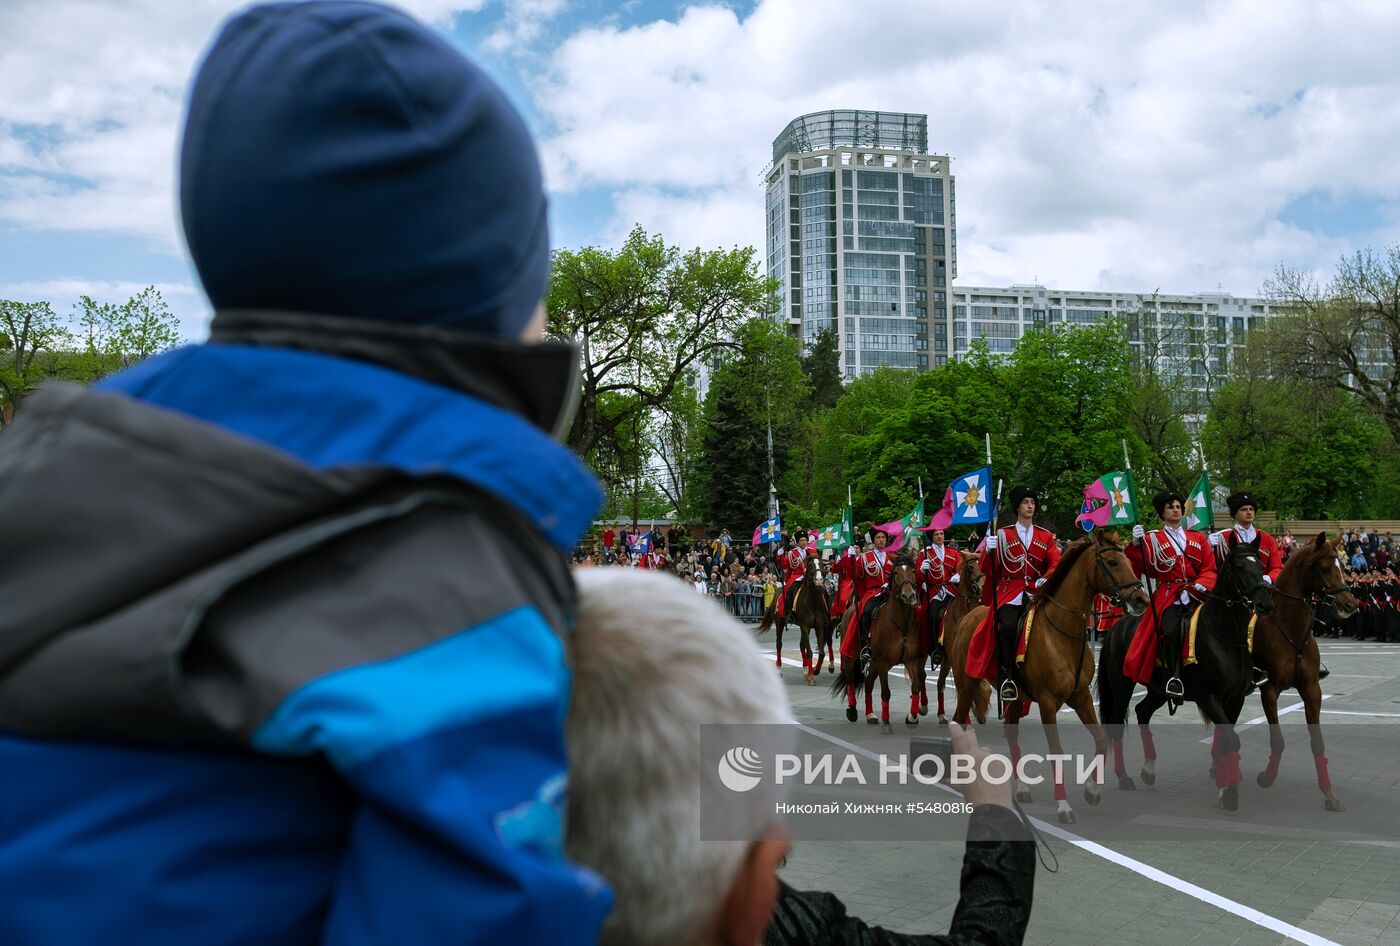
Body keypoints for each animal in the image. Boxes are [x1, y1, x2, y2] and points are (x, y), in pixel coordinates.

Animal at [823, 556, 924, 733]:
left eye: (913, 571)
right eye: (895, 573)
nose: (908, 595)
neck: (901, 622)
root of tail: (850, 609)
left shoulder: (910, 660)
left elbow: (916, 687)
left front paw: (912, 717)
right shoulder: (883, 663)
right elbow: (885, 692)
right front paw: (886, 721)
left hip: (875, 662)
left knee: (868, 683)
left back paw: (870, 715)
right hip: (851, 656)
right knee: (850, 679)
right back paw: (852, 711)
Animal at [940, 531, 1148, 822]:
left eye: (1129, 559)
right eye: (1112, 562)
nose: (1141, 599)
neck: (1061, 633)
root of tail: (968, 617)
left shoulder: (1081, 697)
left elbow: (1101, 739)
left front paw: (1092, 790)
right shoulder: (1049, 703)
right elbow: (1056, 751)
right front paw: (1063, 805)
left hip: (1015, 697)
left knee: (1011, 735)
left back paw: (1022, 788)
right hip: (966, 684)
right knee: (960, 720)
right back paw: (961, 778)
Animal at [1097, 534, 1276, 811]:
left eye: (1261, 566)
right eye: (1240, 567)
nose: (1264, 604)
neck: (1225, 637)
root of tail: (1117, 626)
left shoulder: (1235, 699)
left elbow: (1226, 739)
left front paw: (1224, 784)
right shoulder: (1208, 697)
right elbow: (1231, 739)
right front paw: (1230, 793)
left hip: (1157, 689)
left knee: (1142, 711)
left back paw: (1148, 769)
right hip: (1122, 686)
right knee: (1117, 724)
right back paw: (1124, 777)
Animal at [1248, 534, 1355, 811]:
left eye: (1342, 566)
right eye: (1324, 568)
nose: (1349, 604)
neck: (1290, 629)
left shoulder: (1312, 689)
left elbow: (1317, 743)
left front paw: (1329, 794)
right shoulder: (1269, 689)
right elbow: (1278, 740)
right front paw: (1267, 777)